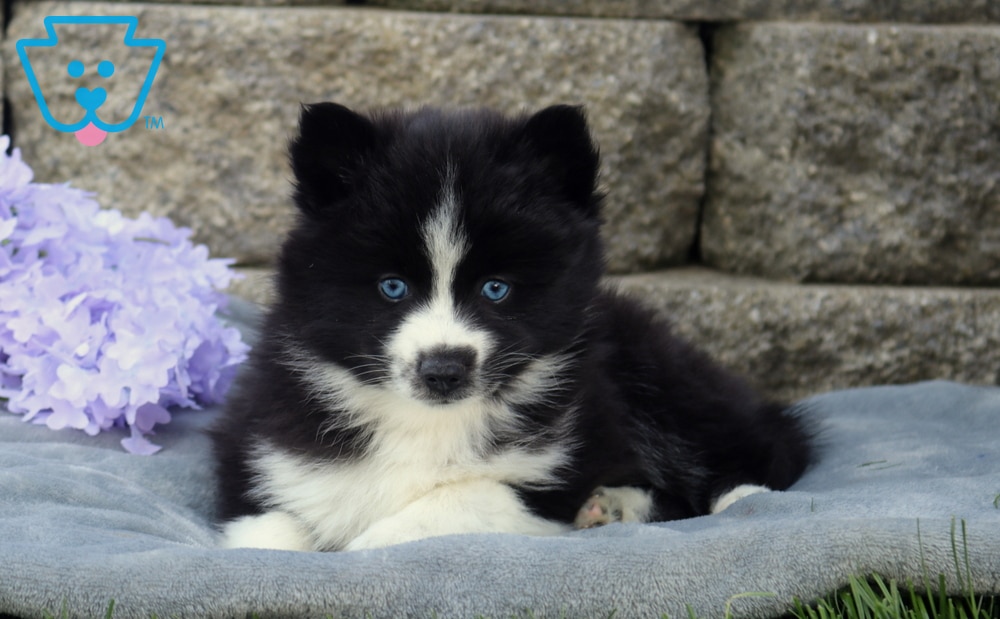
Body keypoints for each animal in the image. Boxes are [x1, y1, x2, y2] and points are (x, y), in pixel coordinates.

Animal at [210, 102, 813, 552]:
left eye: (495, 289)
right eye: (392, 287)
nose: (444, 370)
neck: (426, 423)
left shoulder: (550, 474)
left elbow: (456, 502)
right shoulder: (266, 451)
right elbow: (268, 530)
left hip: (657, 371)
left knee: (767, 444)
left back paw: (737, 498)